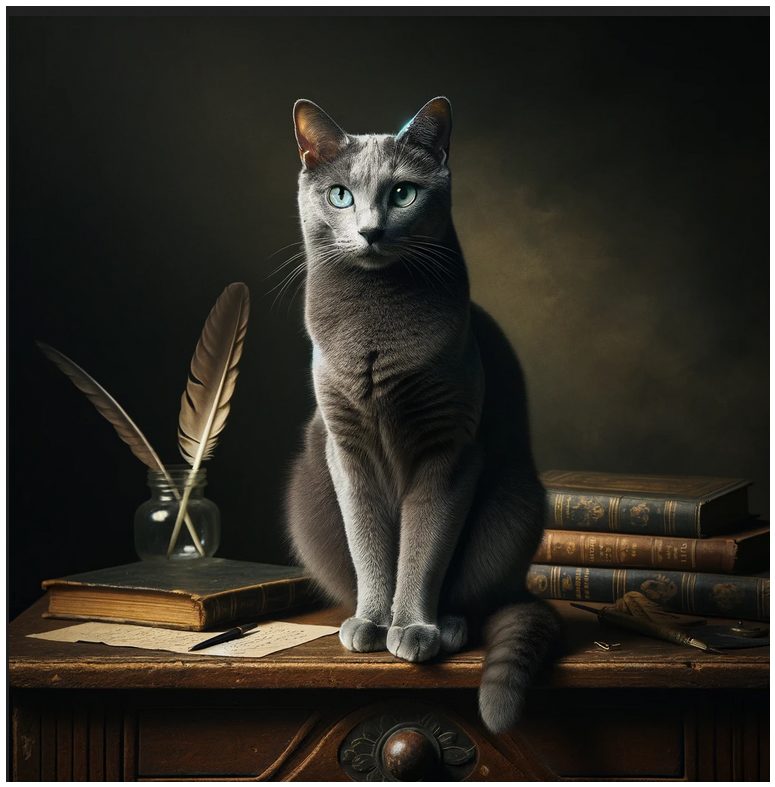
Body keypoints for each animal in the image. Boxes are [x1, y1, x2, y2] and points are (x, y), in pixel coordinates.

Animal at [284, 97, 556, 732]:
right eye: (340, 195)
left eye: (403, 193)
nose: (370, 229)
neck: (372, 322)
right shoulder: (345, 447)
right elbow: (369, 541)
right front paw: (372, 620)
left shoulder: (447, 448)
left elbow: (424, 544)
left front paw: (411, 627)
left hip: (514, 503)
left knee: (478, 597)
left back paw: (449, 626)